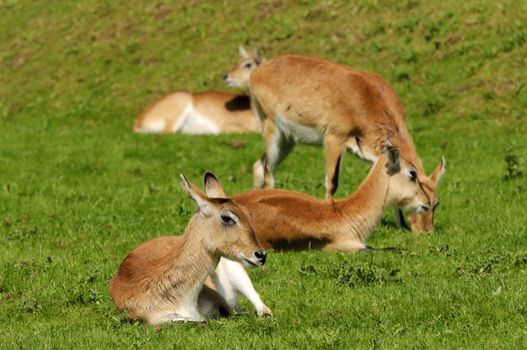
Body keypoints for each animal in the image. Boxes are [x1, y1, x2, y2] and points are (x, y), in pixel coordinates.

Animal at [227, 53, 446, 231]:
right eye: (424, 205)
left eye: (436, 203)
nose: (426, 232)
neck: (365, 99)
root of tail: (258, 71)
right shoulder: (334, 139)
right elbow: (332, 182)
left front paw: (400, 226)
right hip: (273, 131)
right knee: (268, 170)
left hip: (287, 141)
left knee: (259, 165)